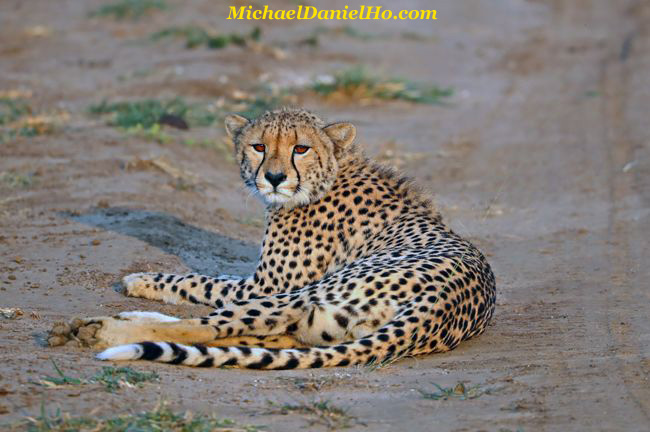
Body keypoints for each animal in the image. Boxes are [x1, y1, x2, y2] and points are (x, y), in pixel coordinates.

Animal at [49, 107, 496, 368]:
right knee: (265, 337)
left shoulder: (265, 284)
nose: (275, 177)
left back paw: (101, 330)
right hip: (321, 323)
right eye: (258, 146)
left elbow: (201, 281)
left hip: (304, 294)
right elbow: (210, 283)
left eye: (301, 148)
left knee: (209, 328)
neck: (330, 173)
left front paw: (141, 279)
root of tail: (442, 306)